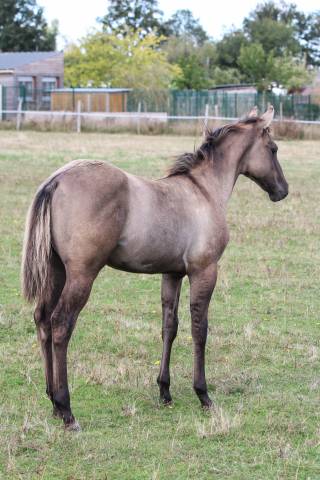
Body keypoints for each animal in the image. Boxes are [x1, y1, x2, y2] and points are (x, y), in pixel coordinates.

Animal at [21, 107, 288, 430]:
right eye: (273, 149)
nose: (282, 190)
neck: (204, 192)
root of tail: (57, 180)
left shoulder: (172, 274)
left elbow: (169, 327)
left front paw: (165, 391)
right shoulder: (204, 271)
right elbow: (200, 329)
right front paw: (203, 395)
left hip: (56, 270)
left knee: (42, 320)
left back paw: (52, 402)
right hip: (82, 274)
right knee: (61, 324)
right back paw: (66, 409)